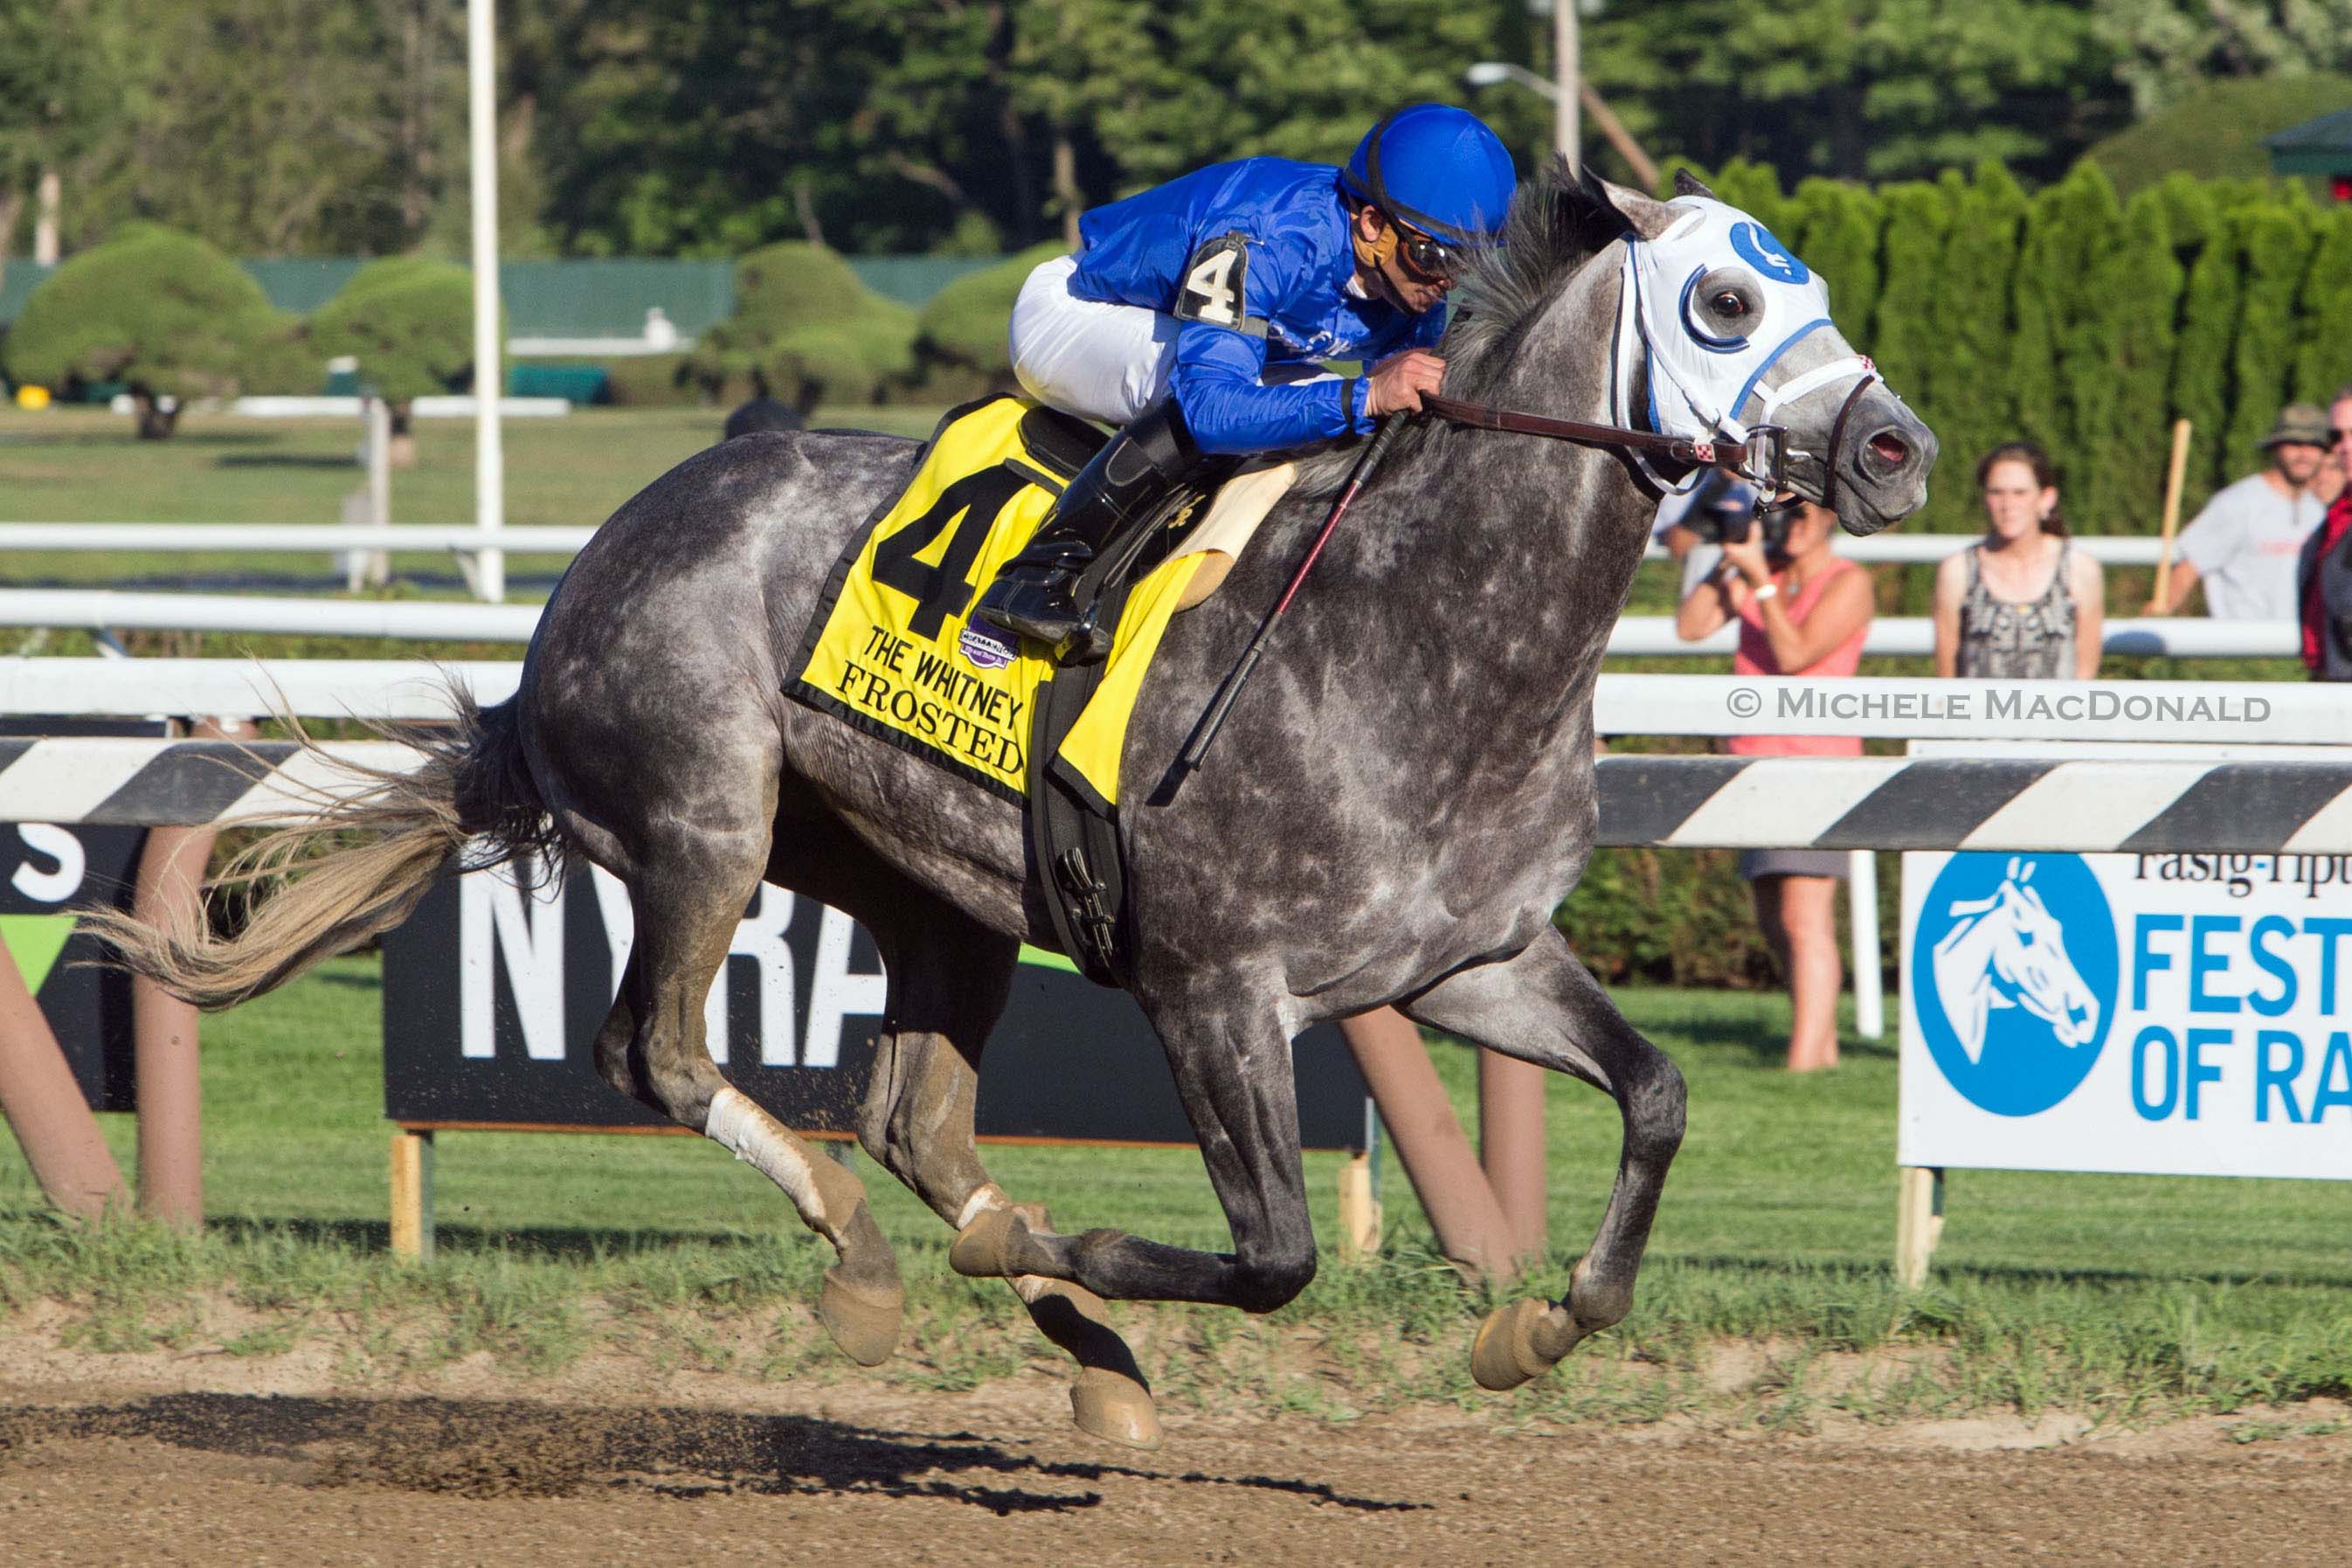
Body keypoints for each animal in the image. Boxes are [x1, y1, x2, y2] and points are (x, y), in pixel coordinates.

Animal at [96, 169, 1928, 1447]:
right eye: (1718, 300)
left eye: (1818, 289)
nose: (1898, 449)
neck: (1417, 630)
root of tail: (591, 569)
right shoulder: (1213, 990)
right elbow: (1274, 1254)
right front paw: (1079, 1250)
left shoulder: (1464, 964)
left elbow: (1659, 1093)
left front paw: (1538, 1324)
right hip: (703, 823)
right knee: (664, 1058)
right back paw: (875, 1264)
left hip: (936, 891)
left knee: (910, 1116)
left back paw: (1071, 1334)